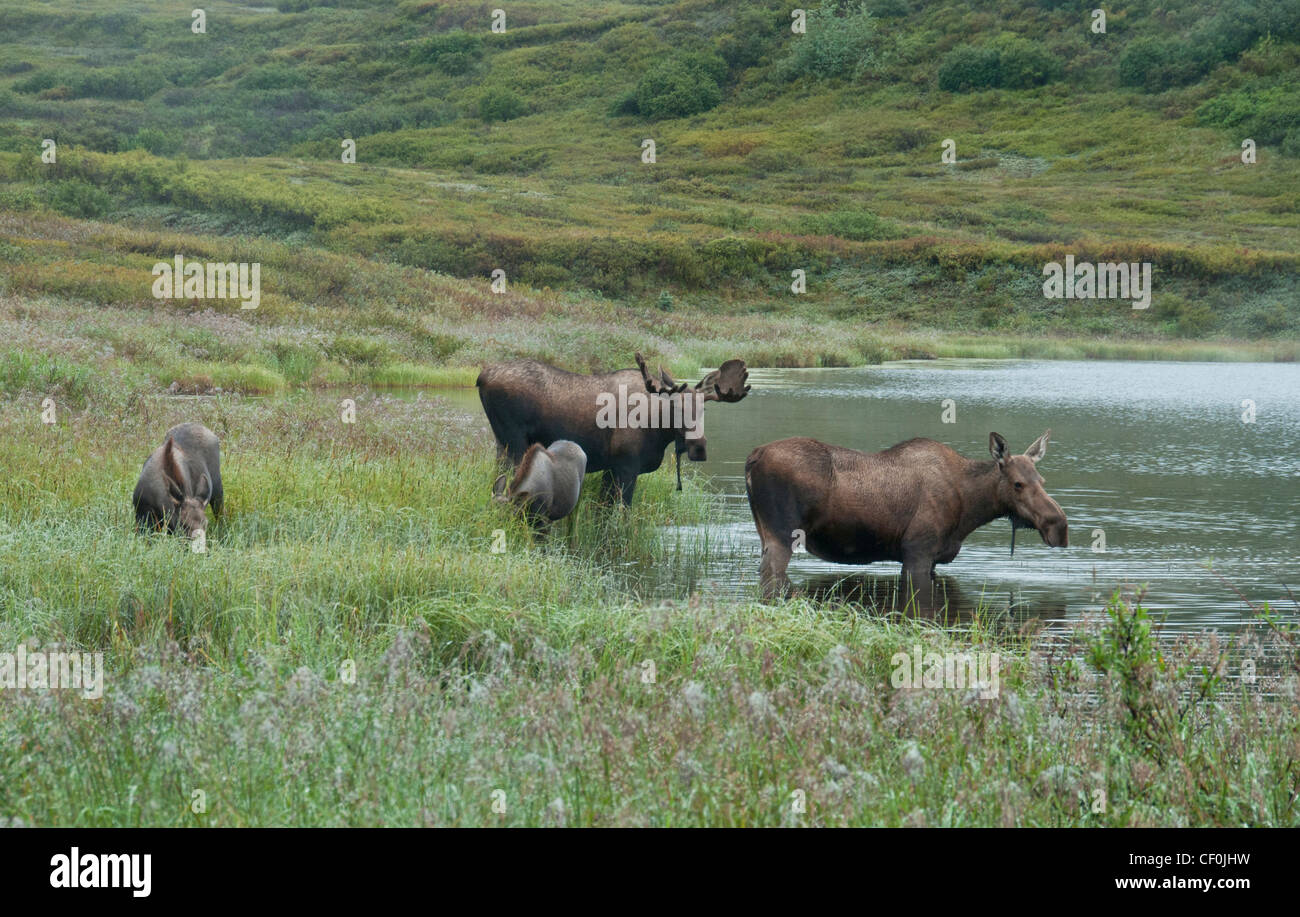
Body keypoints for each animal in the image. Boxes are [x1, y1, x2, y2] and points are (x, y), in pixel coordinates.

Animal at [475, 353, 754, 504]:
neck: (658, 431)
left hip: (502, 443)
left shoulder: (611, 468)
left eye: (703, 409)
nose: (699, 447)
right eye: (674, 408)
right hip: (513, 442)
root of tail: (481, 377)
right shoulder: (626, 465)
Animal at [743, 431, 1066, 608]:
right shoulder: (917, 551)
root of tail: (753, 456)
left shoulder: (932, 559)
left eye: (1041, 479)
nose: (1059, 526)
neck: (970, 508)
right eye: (1017, 484)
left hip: (763, 532)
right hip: (782, 535)